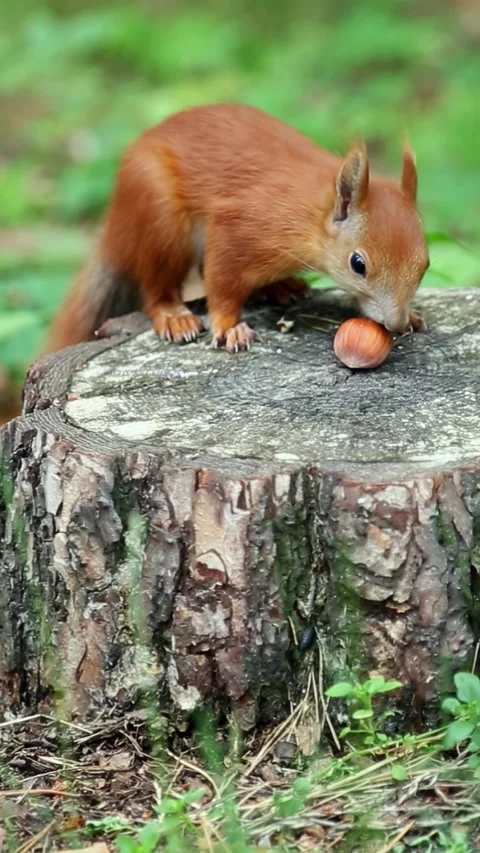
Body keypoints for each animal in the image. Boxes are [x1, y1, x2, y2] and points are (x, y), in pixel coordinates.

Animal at [46, 103, 429, 355]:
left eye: (424, 265)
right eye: (357, 264)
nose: (395, 324)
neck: (310, 213)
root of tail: (116, 231)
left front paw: (412, 317)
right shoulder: (240, 228)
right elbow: (222, 282)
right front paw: (229, 326)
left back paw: (278, 287)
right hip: (159, 218)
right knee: (158, 287)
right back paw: (173, 316)